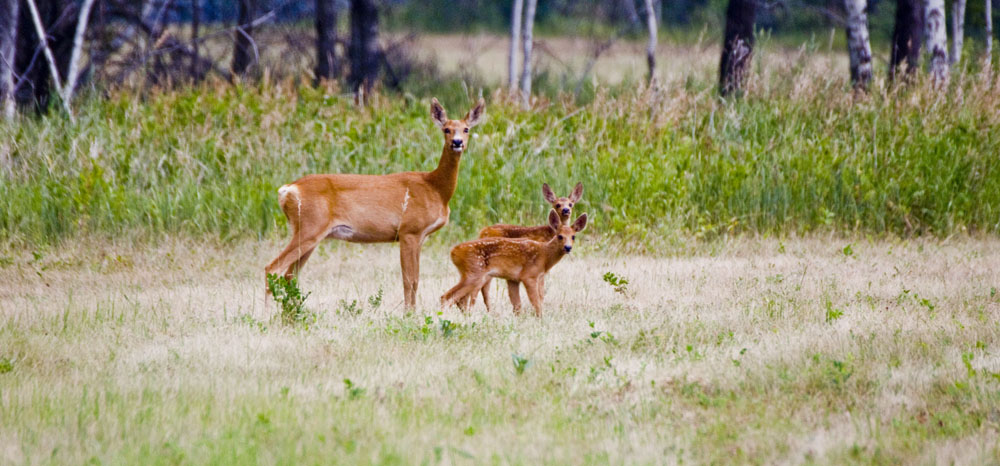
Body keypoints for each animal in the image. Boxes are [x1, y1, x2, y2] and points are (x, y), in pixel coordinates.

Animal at [264, 97, 486, 310]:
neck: (435, 187)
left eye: (466, 129)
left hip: (309, 232)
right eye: (446, 129)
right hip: (309, 227)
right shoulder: (409, 231)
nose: (457, 142)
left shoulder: (420, 236)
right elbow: (409, 280)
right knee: (272, 268)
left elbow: (415, 280)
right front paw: (409, 314)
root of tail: (287, 190)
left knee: (289, 275)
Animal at [442, 210, 588, 316]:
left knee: (459, 300)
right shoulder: (529, 276)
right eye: (560, 236)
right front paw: (540, 320)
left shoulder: (514, 279)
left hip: (469, 274)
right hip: (475, 273)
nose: (568, 247)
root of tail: (454, 252)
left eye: (573, 237)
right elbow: (536, 303)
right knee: (447, 297)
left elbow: (518, 305)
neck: (544, 256)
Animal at [472, 181, 584, 310]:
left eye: (571, 204)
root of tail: (482, 232)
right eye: (557, 205)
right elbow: (541, 292)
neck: (550, 234)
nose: (566, 210)